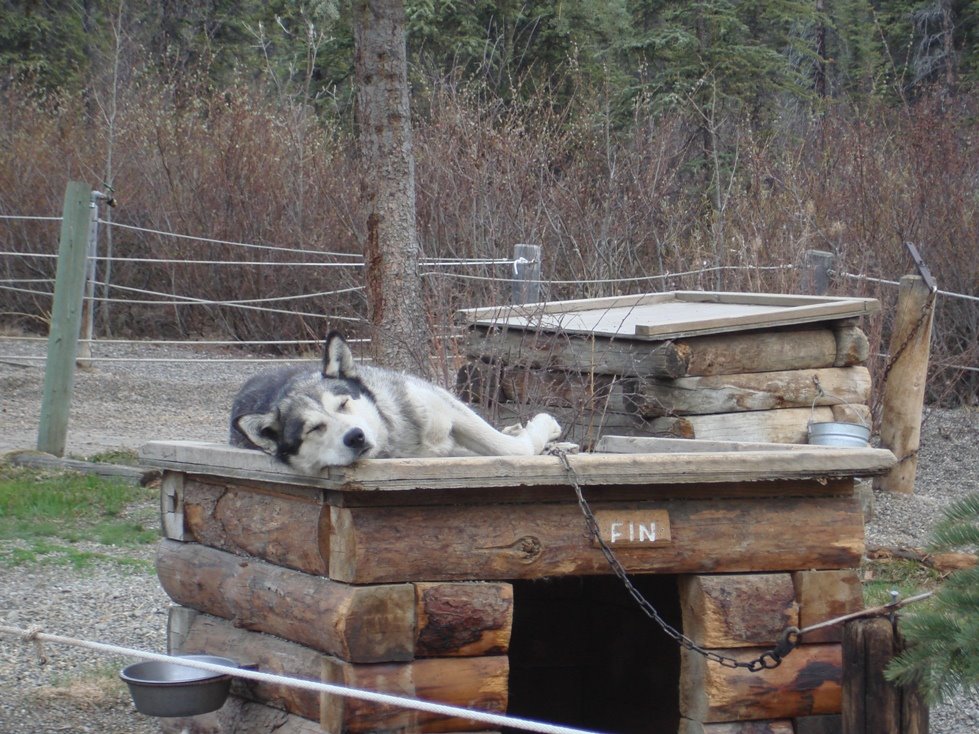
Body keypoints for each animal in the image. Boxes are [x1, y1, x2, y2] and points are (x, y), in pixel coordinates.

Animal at [231, 330, 564, 474]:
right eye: (314, 429)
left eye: (343, 404)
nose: (355, 436)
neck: (396, 434)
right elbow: (518, 448)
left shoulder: (447, 407)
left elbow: (510, 446)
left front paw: (542, 426)